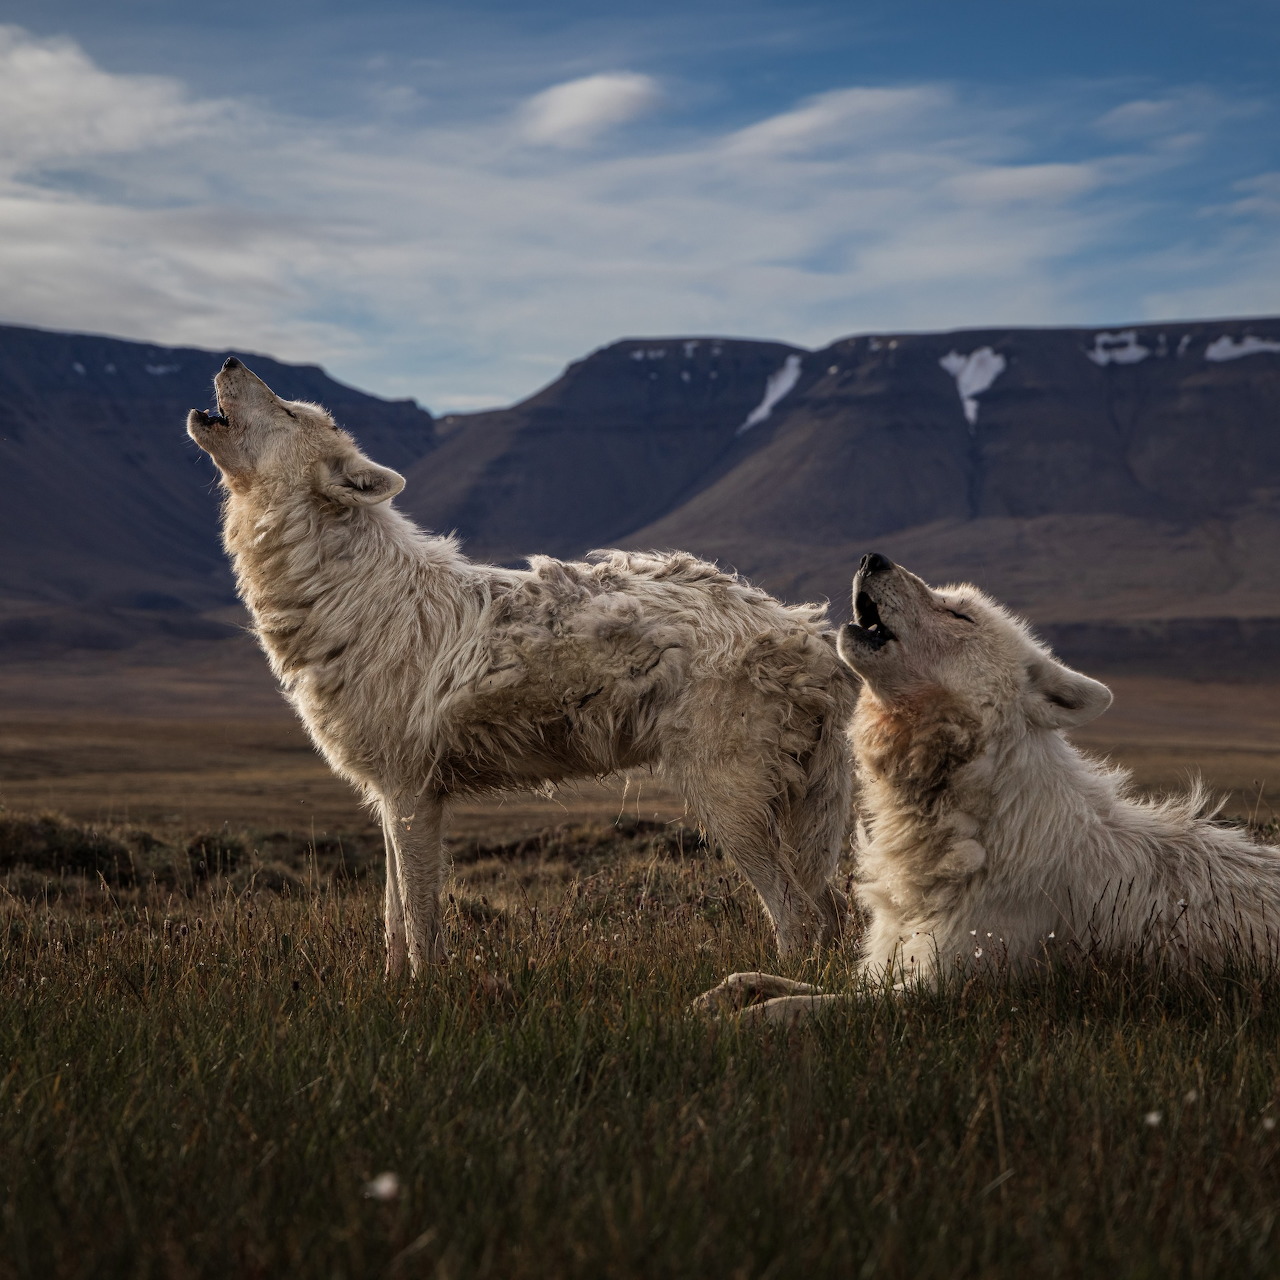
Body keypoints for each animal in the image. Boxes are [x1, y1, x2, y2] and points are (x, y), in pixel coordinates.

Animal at [187, 358, 855, 976]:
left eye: (289, 410)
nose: (229, 360)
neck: (346, 592)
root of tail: (817, 635)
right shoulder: (387, 796)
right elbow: (393, 923)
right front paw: (391, 993)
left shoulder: (411, 794)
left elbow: (422, 926)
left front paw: (425, 1000)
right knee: (830, 914)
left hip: (728, 807)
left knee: (799, 916)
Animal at [696, 552, 1280, 1023]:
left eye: (959, 614)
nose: (871, 557)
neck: (969, 822)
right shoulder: (885, 964)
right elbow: (768, 980)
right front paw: (717, 996)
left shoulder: (943, 991)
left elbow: (794, 1006)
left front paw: (726, 1025)